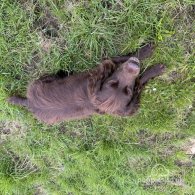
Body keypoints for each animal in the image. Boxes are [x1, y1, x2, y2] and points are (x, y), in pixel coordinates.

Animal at [8, 43, 165, 123]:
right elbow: (126, 63)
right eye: (112, 83)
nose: (133, 67)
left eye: (128, 90)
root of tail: (29, 103)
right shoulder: (105, 64)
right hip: (44, 79)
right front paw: (152, 61)